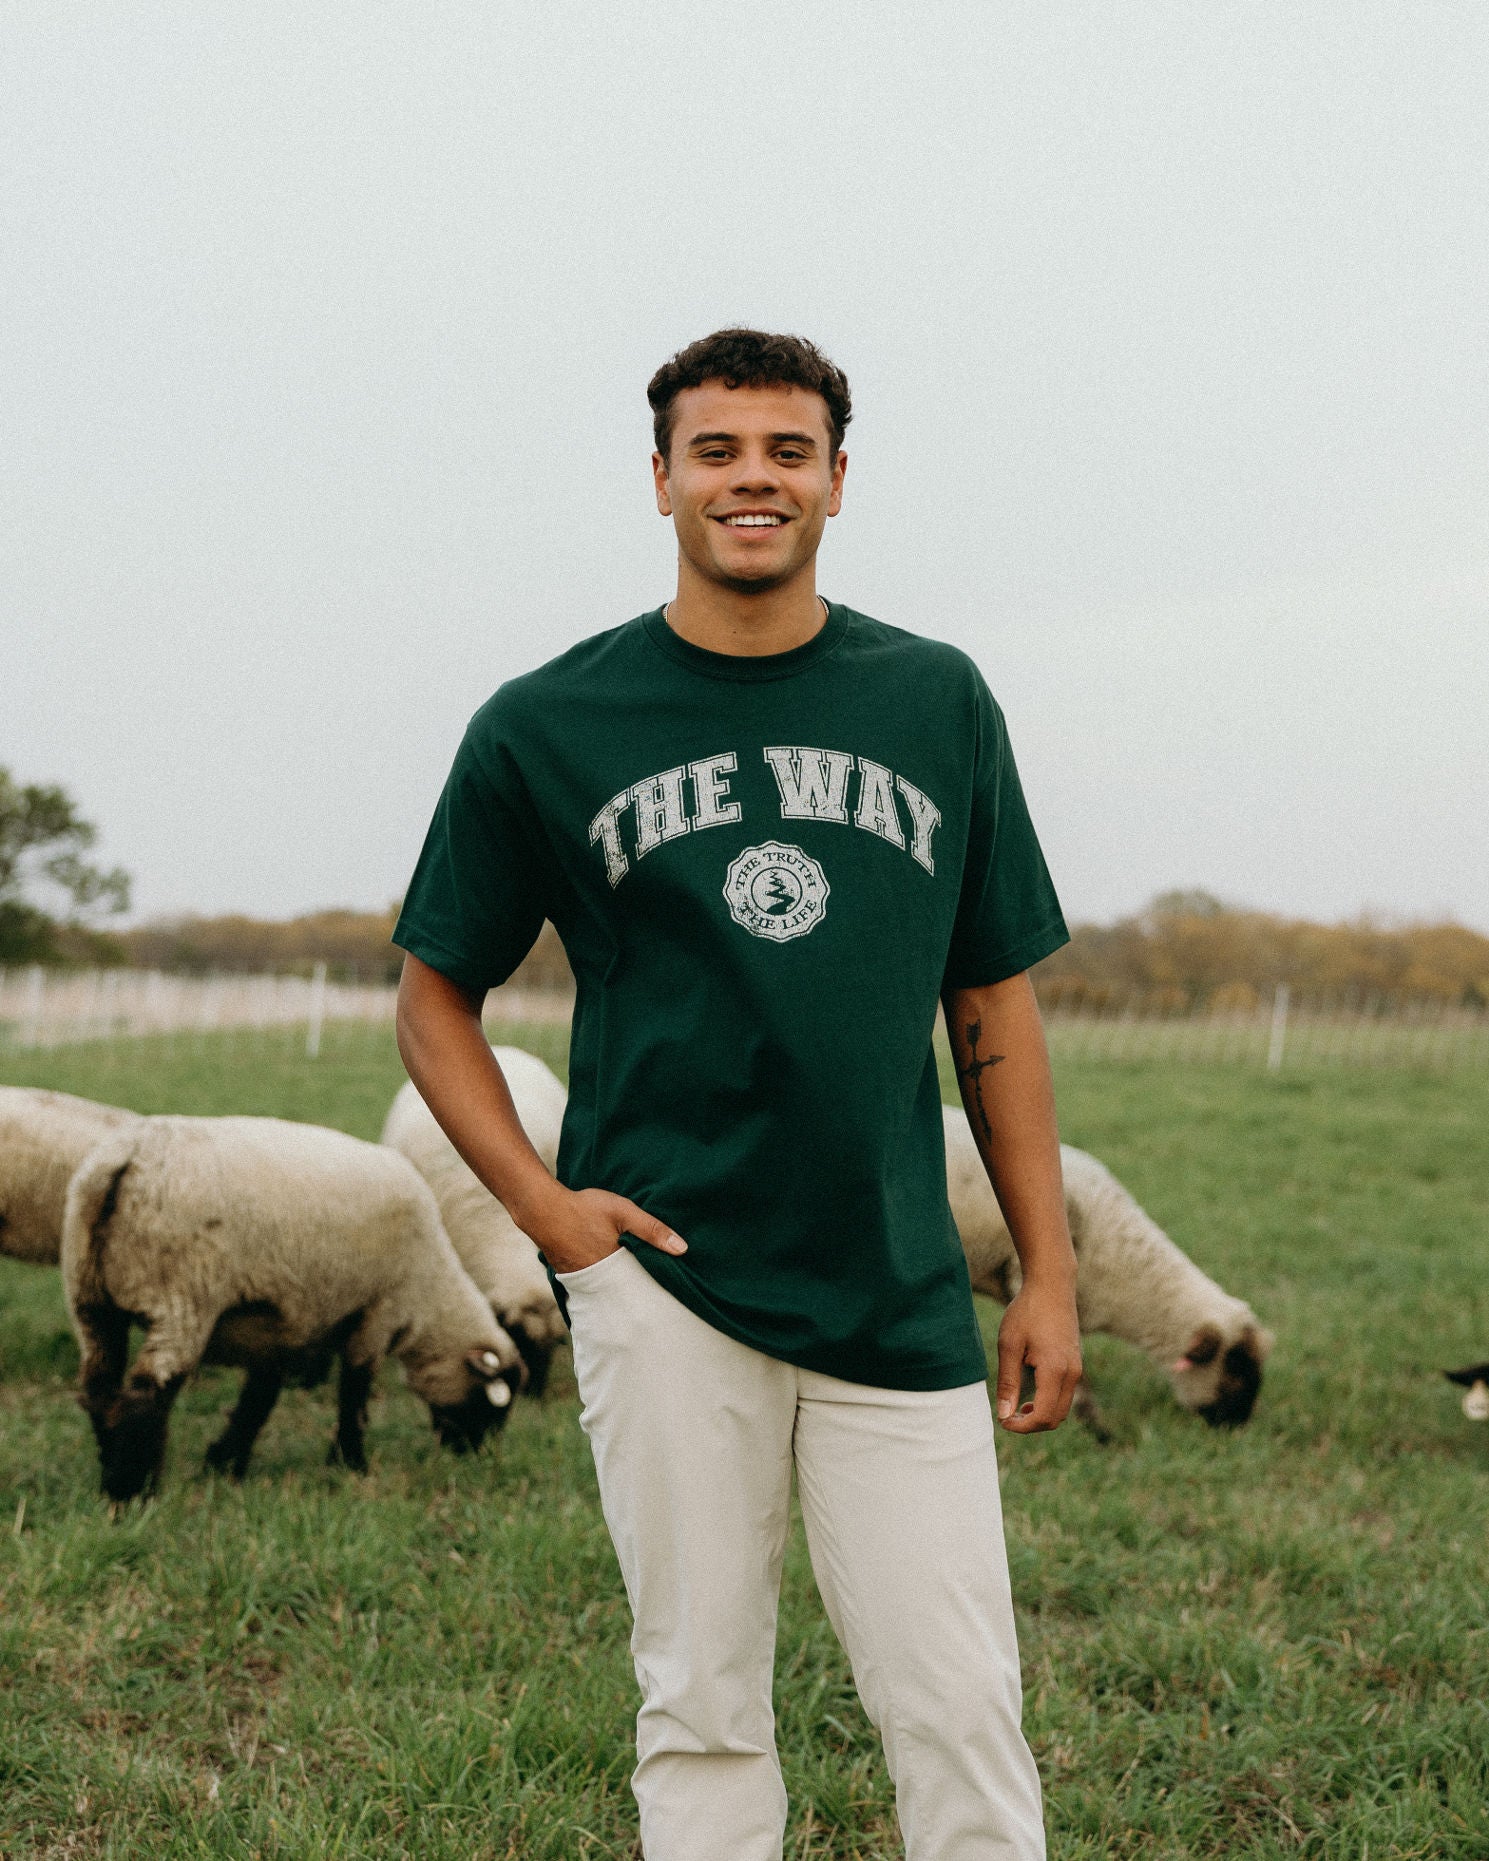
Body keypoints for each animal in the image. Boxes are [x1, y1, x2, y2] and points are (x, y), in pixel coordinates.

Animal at [60, 1116, 524, 1496]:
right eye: (492, 1404)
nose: (474, 1456)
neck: (431, 1294)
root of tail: (126, 1160)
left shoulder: (282, 1328)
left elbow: (259, 1399)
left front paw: (225, 1463)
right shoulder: (377, 1312)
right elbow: (354, 1393)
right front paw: (350, 1463)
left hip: (89, 1295)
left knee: (100, 1390)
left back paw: (112, 1476)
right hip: (181, 1299)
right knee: (146, 1395)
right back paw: (132, 1492)